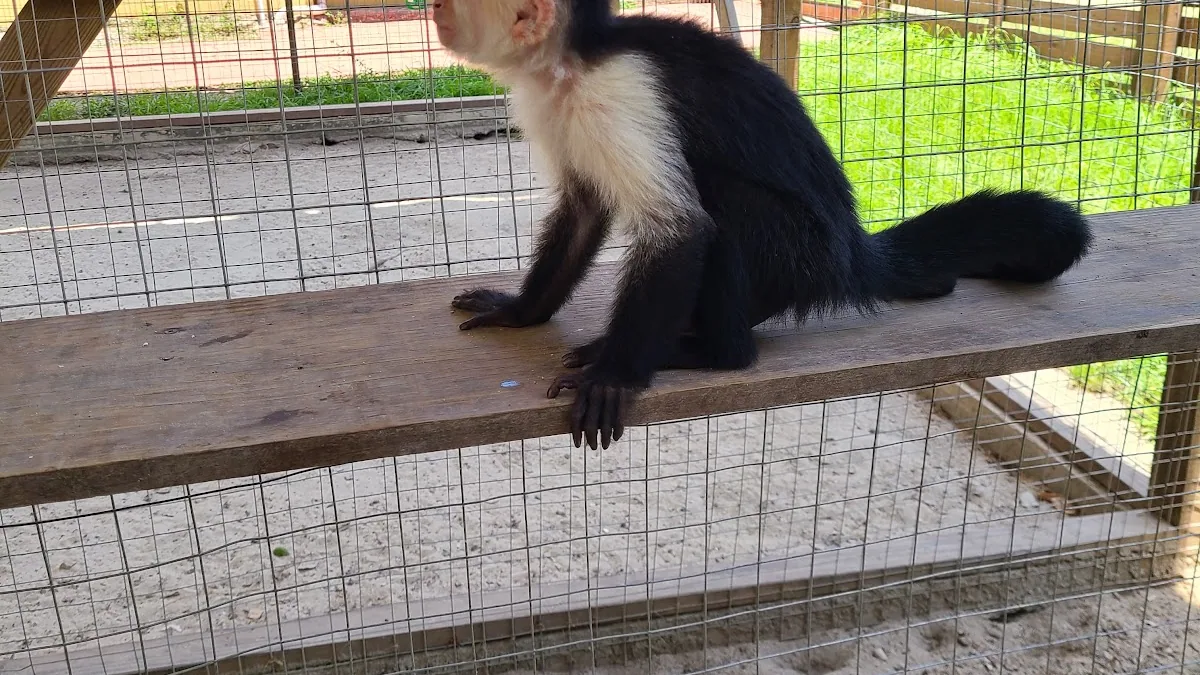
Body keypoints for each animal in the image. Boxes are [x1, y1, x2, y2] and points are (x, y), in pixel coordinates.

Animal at [431, 0, 1093, 451]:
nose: (434, 6)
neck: (570, 65)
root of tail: (851, 253)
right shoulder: (551, 106)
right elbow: (583, 210)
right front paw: (521, 311)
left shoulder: (617, 94)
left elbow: (681, 230)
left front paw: (615, 377)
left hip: (798, 254)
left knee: (724, 205)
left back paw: (713, 352)